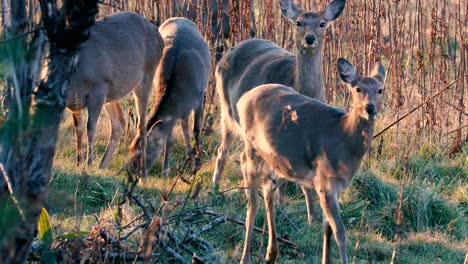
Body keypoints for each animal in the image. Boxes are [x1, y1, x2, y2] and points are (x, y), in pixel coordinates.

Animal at [66, 12, 165, 177]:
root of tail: (159, 35)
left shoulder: (98, 88)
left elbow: (90, 128)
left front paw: (88, 165)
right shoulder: (75, 103)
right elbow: (78, 130)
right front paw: (78, 164)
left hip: (146, 76)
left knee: (141, 125)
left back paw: (142, 174)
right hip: (112, 93)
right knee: (120, 122)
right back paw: (102, 165)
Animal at [127, 17, 209, 177]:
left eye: (145, 152)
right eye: (130, 149)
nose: (134, 173)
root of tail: (180, 18)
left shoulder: (199, 97)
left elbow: (196, 130)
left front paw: (197, 165)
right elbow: (170, 138)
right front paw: (165, 172)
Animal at [212, 0, 348, 225]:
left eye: (322, 23)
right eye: (299, 22)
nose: (309, 38)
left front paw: (306, 214)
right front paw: (286, 208)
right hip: (227, 110)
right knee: (223, 150)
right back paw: (215, 189)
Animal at [236, 58, 386, 264]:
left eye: (380, 90)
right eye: (358, 89)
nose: (370, 108)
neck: (344, 138)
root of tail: (242, 99)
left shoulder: (335, 186)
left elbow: (327, 228)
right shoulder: (324, 181)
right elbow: (340, 231)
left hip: (275, 160)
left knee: (268, 190)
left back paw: (271, 252)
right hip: (251, 147)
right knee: (252, 202)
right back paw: (246, 257)